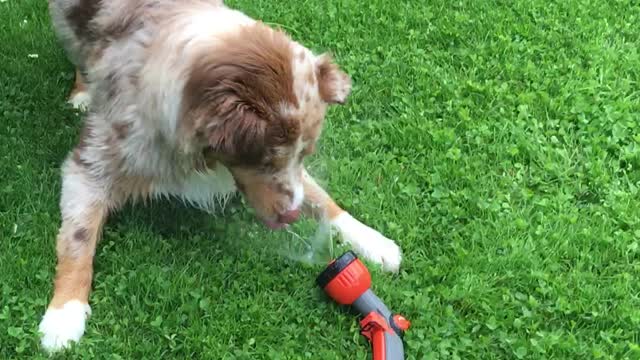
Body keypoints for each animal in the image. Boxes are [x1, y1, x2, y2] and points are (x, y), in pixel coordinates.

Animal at [40, 0, 402, 352]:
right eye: (266, 160)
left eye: (303, 154)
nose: (291, 216)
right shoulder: (91, 165)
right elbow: (78, 238)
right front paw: (63, 315)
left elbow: (320, 197)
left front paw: (373, 241)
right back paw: (83, 91)